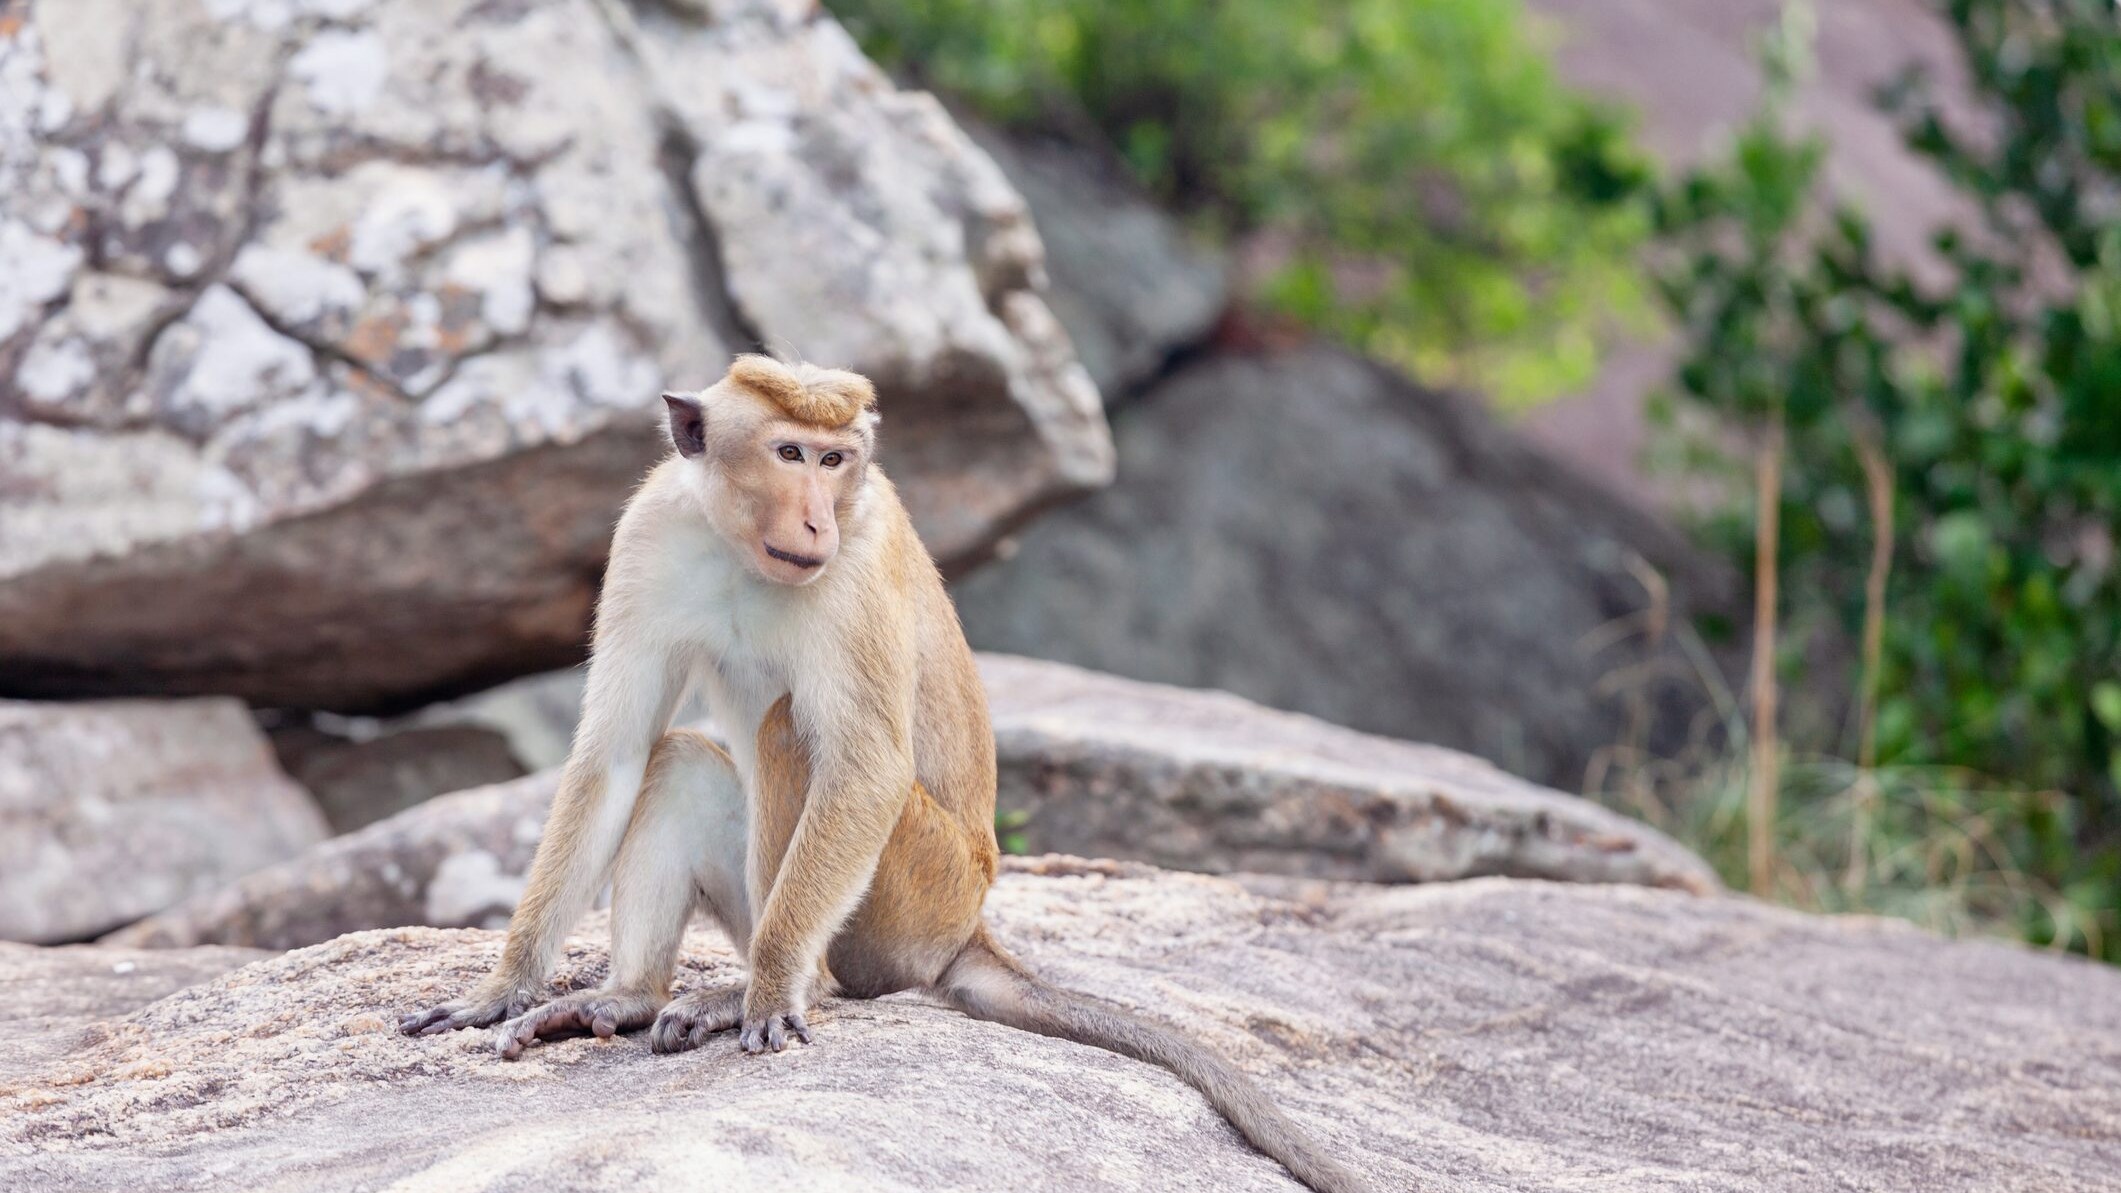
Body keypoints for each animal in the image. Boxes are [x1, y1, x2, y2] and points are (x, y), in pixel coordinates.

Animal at [398, 356, 1366, 1193]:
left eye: (837, 460)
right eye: (790, 452)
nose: (817, 518)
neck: (741, 548)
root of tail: (968, 926)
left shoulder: (855, 566)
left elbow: (864, 767)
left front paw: (769, 990)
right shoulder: (649, 533)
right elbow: (617, 750)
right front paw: (501, 988)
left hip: (912, 897)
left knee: (791, 735)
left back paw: (766, 988)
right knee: (677, 760)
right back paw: (632, 997)